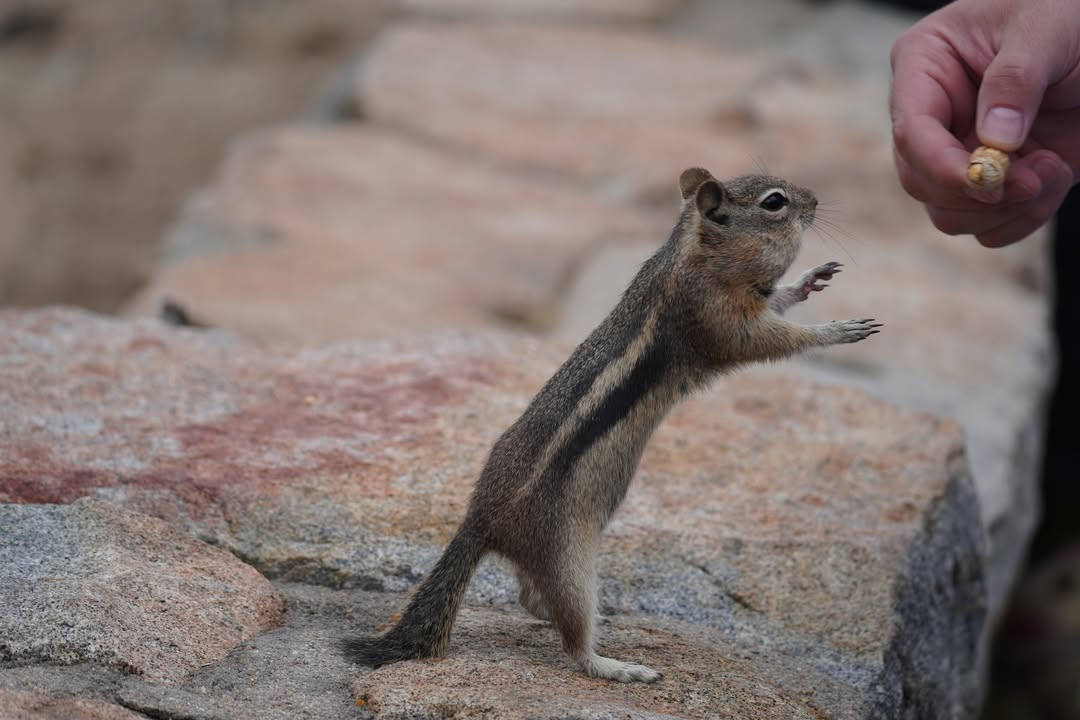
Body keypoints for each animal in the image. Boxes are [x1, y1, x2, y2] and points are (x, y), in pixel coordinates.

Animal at [344, 167, 881, 683]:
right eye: (775, 203)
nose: (815, 200)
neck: (692, 256)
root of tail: (480, 517)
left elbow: (779, 301)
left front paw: (810, 280)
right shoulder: (719, 319)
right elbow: (773, 338)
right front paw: (838, 330)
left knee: (530, 598)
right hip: (568, 559)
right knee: (572, 639)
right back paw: (616, 665)